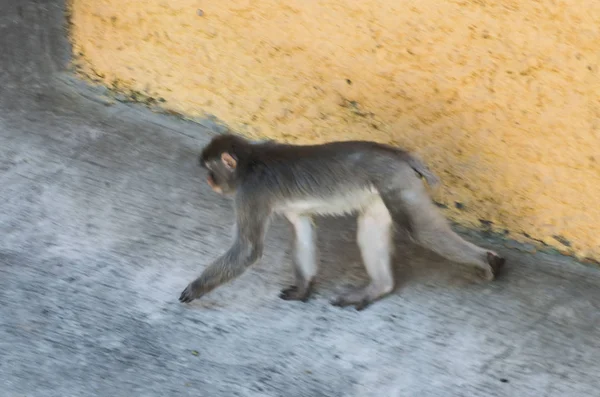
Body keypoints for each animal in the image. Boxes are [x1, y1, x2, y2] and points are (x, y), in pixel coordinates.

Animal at [179, 133, 506, 310]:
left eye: (211, 172)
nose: (209, 182)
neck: (250, 161)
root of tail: (399, 154)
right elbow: (302, 227)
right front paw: (303, 289)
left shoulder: (250, 193)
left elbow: (248, 250)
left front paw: (196, 288)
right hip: (383, 189)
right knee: (371, 226)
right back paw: (379, 287)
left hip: (394, 180)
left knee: (418, 229)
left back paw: (487, 260)